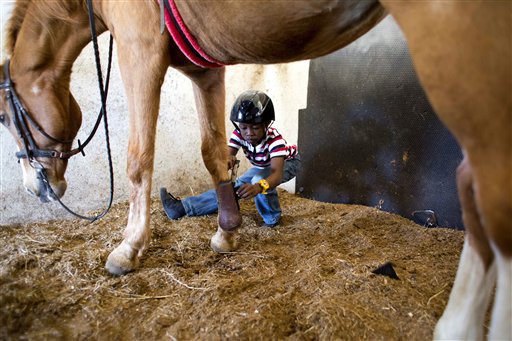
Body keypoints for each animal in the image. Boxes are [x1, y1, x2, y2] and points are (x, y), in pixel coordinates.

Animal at [0, 1, 510, 338]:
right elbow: (214, 152)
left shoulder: (138, 47)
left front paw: (128, 250)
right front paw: (227, 231)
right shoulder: (203, 69)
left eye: (5, 117)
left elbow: (138, 157)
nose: (36, 187)